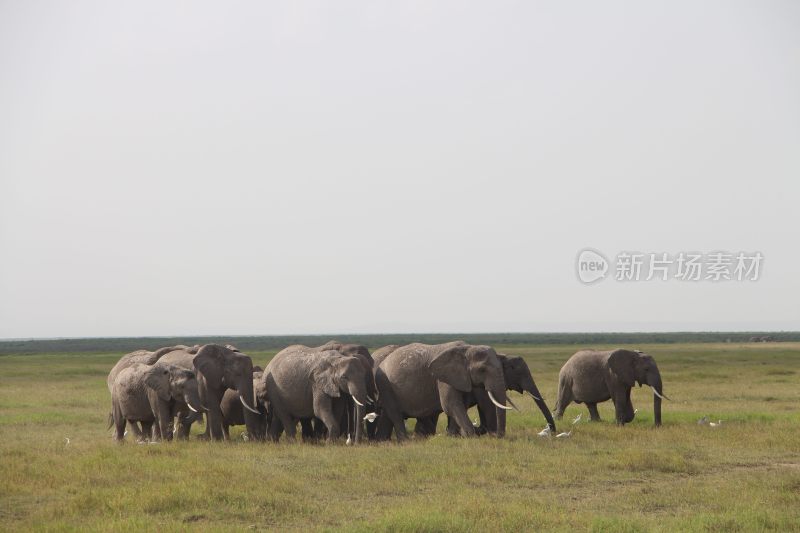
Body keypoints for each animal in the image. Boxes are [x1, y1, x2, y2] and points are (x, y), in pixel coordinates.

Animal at [374, 340, 516, 440]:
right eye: (482, 370)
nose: (496, 436)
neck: (467, 348)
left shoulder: (460, 378)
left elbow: (459, 405)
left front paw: (454, 436)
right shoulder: (443, 379)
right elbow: (450, 404)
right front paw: (470, 436)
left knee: (388, 416)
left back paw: (383, 442)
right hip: (385, 384)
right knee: (395, 414)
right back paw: (404, 441)